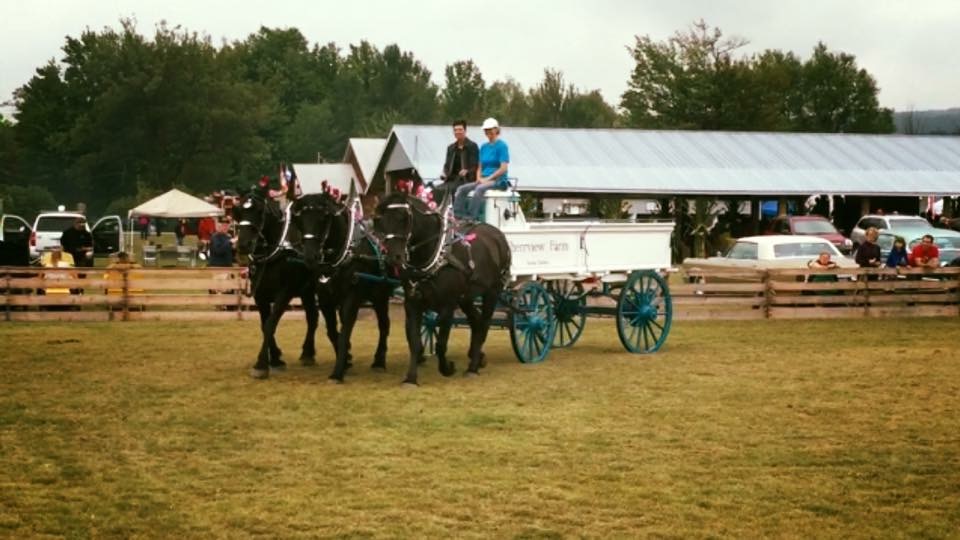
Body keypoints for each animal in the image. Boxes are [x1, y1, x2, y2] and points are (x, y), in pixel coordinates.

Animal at [232, 190, 338, 380]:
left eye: (260, 212)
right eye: (238, 212)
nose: (243, 245)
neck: (274, 254)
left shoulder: (285, 293)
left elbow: (270, 324)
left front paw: (261, 364)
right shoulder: (260, 296)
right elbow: (264, 325)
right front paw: (275, 359)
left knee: (314, 317)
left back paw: (308, 353)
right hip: (306, 291)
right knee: (312, 317)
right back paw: (307, 354)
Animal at [294, 192, 396, 382]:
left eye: (323, 218)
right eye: (300, 220)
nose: (310, 257)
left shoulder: (352, 297)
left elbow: (345, 328)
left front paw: (337, 372)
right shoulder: (325, 298)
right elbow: (333, 332)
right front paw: (347, 359)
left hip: (380, 296)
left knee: (384, 324)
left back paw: (380, 361)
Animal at [374, 191, 512, 384]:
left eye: (403, 218)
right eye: (380, 220)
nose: (394, 258)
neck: (436, 256)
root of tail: (497, 234)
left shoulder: (448, 305)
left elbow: (440, 344)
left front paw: (447, 368)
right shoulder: (412, 303)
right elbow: (415, 343)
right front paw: (411, 379)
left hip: (492, 292)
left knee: (484, 324)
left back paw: (472, 368)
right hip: (466, 297)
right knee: (476, 321)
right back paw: (477, 358)